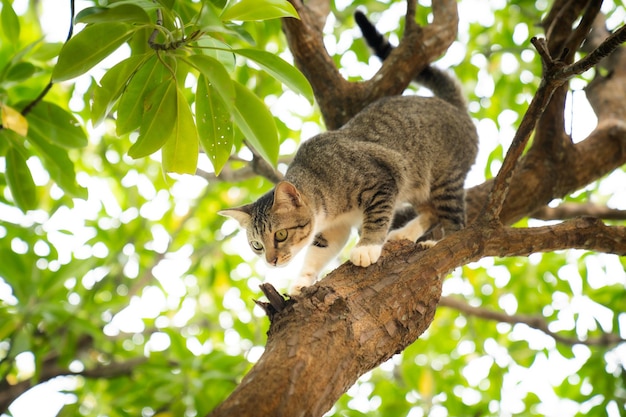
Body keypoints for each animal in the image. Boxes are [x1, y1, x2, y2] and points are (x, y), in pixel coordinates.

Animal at [217, 14, 476, 292]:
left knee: (455, 222)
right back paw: (404, 233)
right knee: (430, 210)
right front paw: (302, 282)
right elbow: (317, 253)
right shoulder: (334, 228)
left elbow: (377, 218)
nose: (271, 261)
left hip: (443, 178)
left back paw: (436, 243)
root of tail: (454, 108)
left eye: (281, 234)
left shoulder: (383, 178)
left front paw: (367, 247)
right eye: (257, 245)